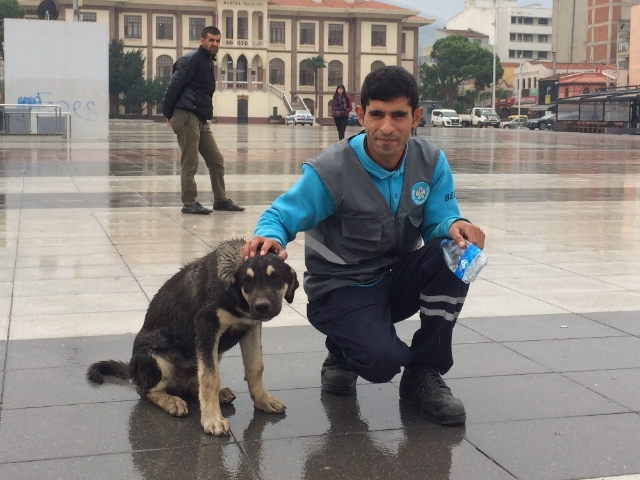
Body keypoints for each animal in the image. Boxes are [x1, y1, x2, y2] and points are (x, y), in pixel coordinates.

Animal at [86, 238, 298, 436]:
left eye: (276, 277)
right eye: (247, 281)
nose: (262, 307)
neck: (234, 297)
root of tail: (132, 370)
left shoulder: (250, 327)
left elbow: (255, 367)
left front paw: (263, 400)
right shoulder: (206, 326)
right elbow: (210, 377)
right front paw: (212, 419)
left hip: (210, 352)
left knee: (191, 383)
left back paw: (215, 394)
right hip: (159, 358)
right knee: (147, 390)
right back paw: (171, 401)